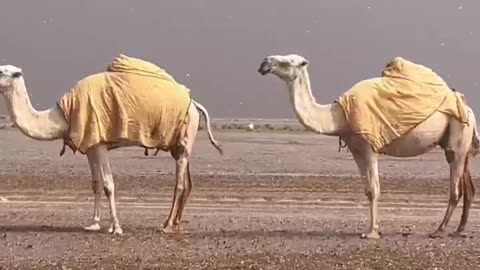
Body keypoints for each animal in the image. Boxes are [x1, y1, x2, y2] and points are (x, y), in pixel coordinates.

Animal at [0, 63, 223, 234]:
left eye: (2, 71)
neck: (64, 114)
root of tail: (194, 104)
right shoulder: (90, 145)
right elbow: (96, 183)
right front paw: (94, 224)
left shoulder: (99, 143)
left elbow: (108, 184)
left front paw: (116, 228)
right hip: (180, 144)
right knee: (188, 182)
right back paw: (175, 224)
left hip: (185, 139)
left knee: (179, 185)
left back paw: (166, 225)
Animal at [256, 54, 478, 238]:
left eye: (288, 61)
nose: (264, 63)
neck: (337, 117)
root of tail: (469, 109)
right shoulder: (356, 149)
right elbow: (367, 190)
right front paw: (371, 229)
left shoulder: (368, 146)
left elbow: (374, 188)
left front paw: (371, 233)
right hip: (461, 142)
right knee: (468, 186)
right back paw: (459, 230)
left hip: (458, 133)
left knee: (455, 187)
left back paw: (439, 230)